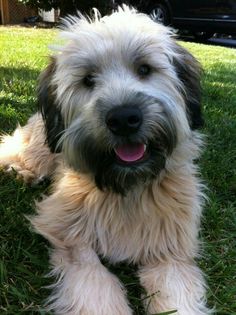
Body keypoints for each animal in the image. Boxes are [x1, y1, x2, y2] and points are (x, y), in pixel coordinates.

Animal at [0, 5, 210, 315]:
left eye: (144, 69)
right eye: (88, 79)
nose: (123, 118)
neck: (126, 187)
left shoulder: (169, 252)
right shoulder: (70, 235)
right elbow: (95, 279)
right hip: (39, 147)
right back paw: (21, 171)